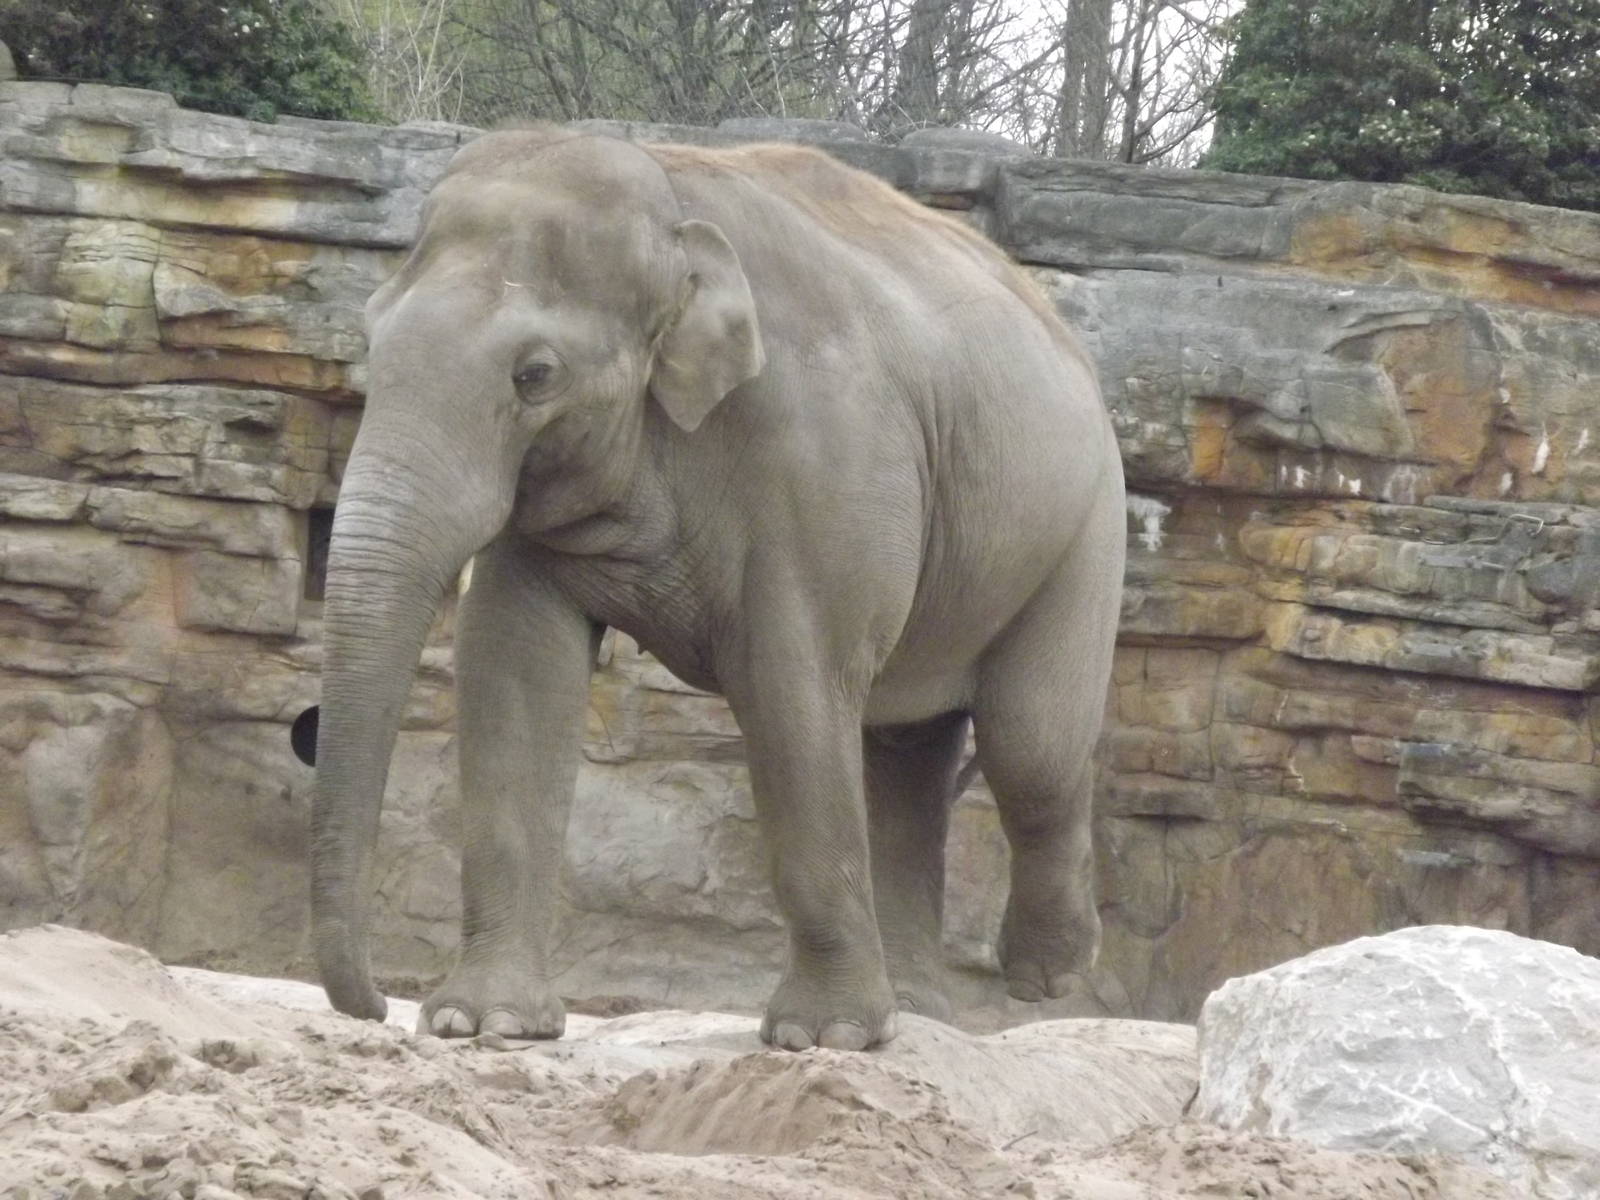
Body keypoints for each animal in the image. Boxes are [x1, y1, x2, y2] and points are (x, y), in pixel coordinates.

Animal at [306, 125, 1126, 1052]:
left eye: (535, 375)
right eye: (370, 338)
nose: (375, 1005)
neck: (669, 195)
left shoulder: (823, 455)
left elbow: (793, 688)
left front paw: (820, 1039)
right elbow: (517, 670)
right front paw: (483, 1023)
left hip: (1085, 526)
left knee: (1032, 744)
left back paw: (1045, 976)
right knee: (909, 752)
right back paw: (919, 1012)